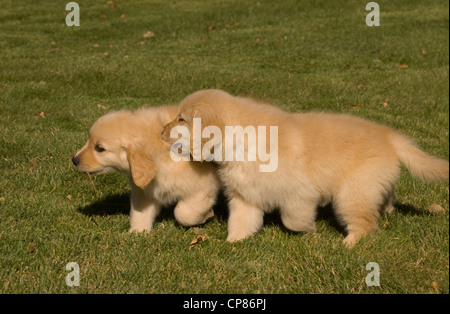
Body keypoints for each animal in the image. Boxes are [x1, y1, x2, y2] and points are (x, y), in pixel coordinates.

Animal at [73, 106, 221, 232]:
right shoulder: (145, 190)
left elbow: (183, 213)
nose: (74, 160)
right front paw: (137, 233)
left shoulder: (204, 186)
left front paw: (207, 215)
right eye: (89, 140)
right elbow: (139, 213)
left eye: (99, 148)